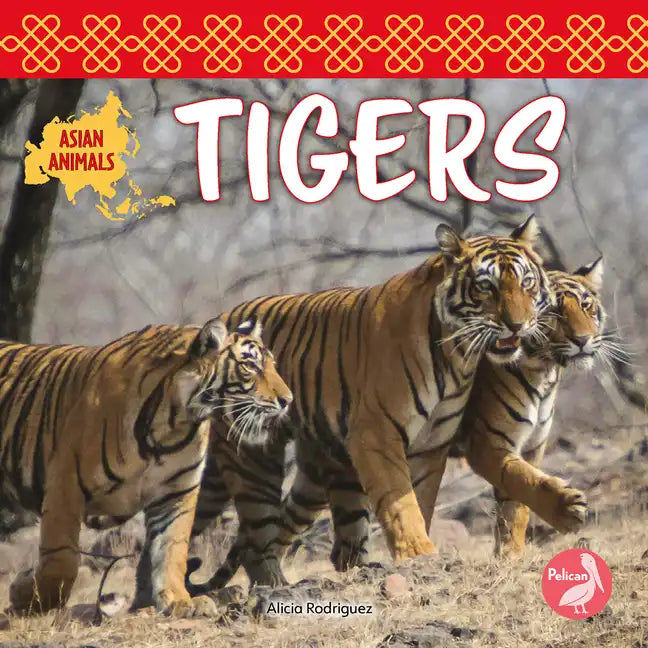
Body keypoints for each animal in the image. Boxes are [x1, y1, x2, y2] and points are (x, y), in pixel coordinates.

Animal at [1, 317, 291, 616]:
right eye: (250, 366)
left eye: (272, 365)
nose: (288, 400)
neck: (175, 422)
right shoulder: (66, 484)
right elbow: (62, 556)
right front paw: (28, 596)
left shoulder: (177, 492)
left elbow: (173, 548)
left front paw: (180, 601)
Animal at [183, 215, 554, 593]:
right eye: (485, 287)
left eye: (526, 283)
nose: (517, 325)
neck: (457, 356)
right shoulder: (377, 434)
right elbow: (400, 501)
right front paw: (419, 553)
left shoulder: (431, 445)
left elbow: (420, 500)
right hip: (253, 457)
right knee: (256, 537)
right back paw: (275, 586)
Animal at [268, 258, 608, 570]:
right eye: (554, 312)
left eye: (586, 305)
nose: (583, 340)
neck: (543, 373)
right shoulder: (487, 444)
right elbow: (521, 481)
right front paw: (567, 510)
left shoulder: (531, 446)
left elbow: (516, 505)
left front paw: (511, 556)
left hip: (317, 479)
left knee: (284, 523)